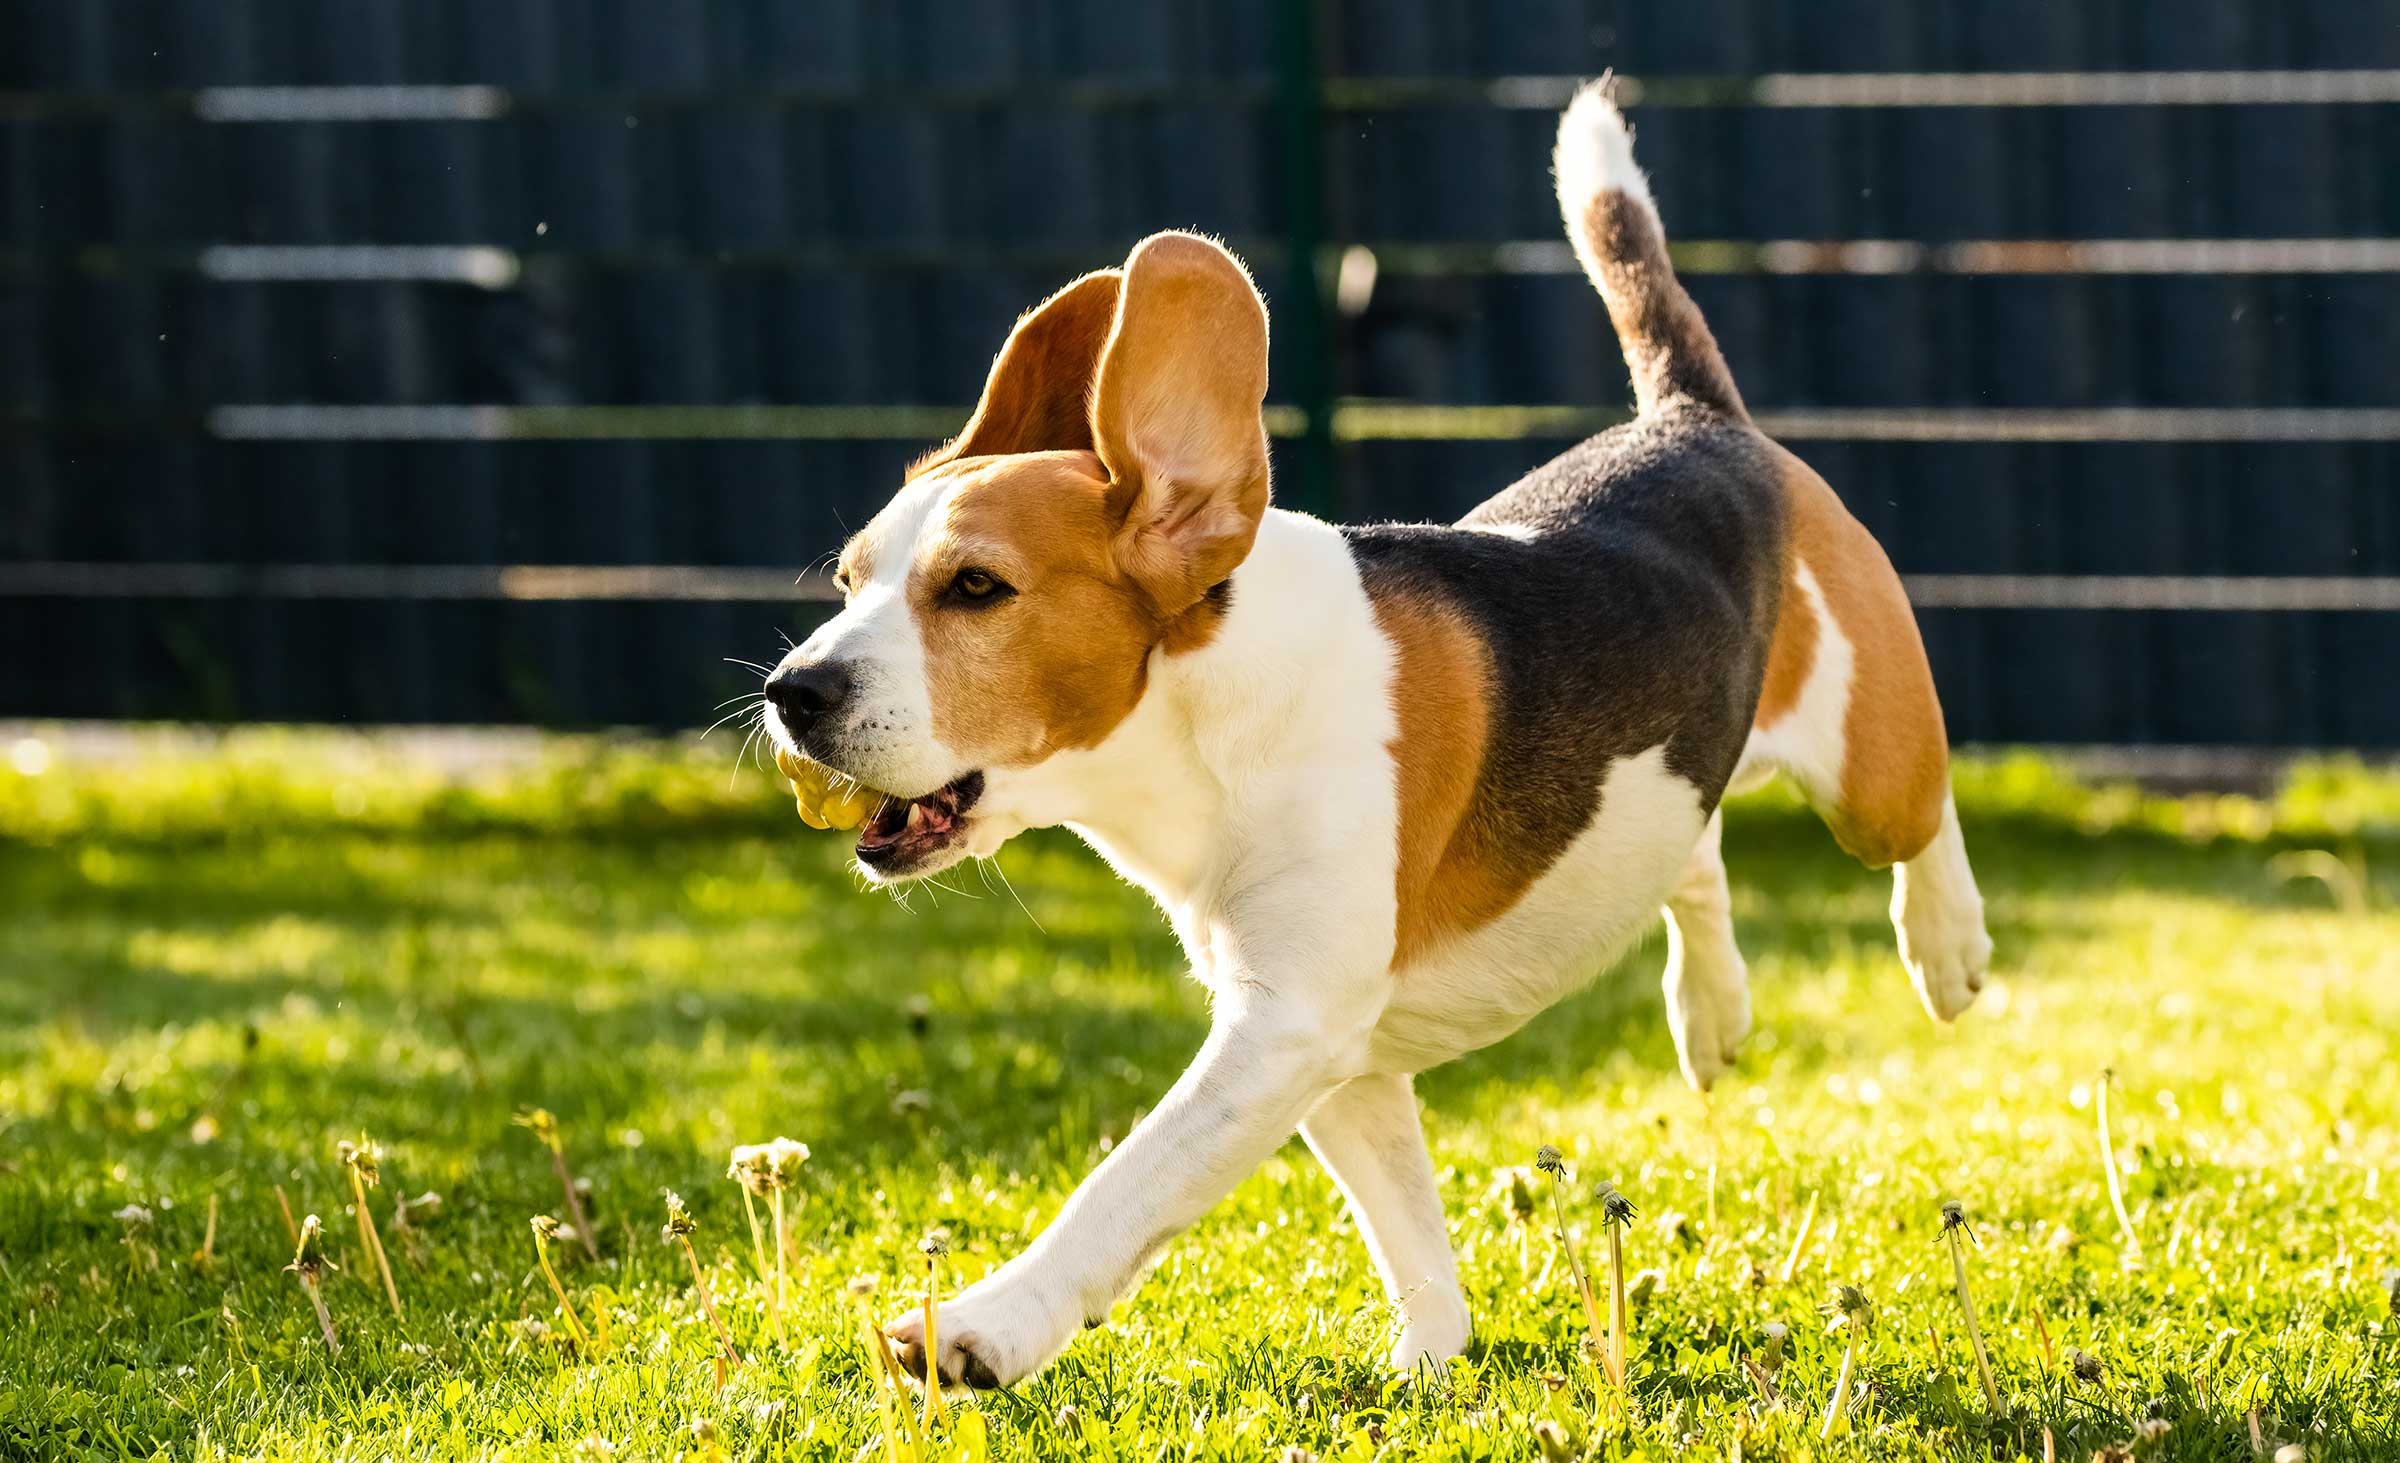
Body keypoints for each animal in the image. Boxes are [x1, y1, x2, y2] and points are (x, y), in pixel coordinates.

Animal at [763, 85, 1987, 1381]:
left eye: (977, 588)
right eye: (848, 580)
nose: (792, 691)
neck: (1207, 710)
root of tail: (1692, 419)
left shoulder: (1282, 1030)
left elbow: (1121, 1187)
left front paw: (984, 1324)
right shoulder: (1336, 1054)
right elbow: (1411, 1236)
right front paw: (1433, 1357)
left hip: (1871, 773)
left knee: (1923, 813)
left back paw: (1946, 941)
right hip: (1670, 785)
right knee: (1691, 848)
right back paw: (1711, 1011)